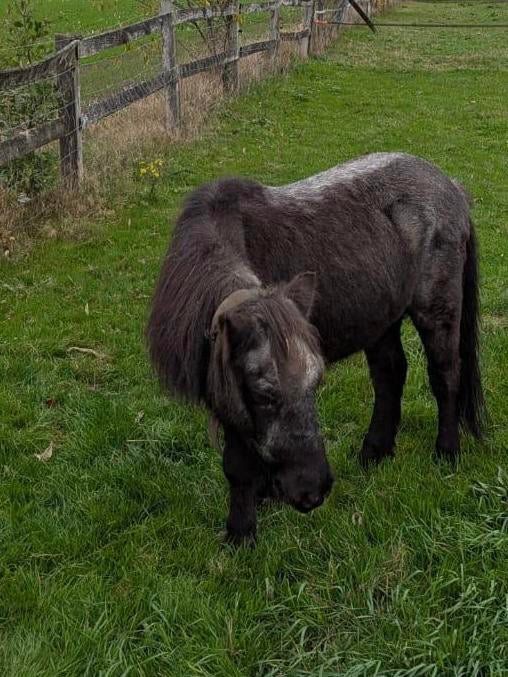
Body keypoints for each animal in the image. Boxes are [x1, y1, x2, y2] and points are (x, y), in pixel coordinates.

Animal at [146, 152, 485, 544]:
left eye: (316, 384)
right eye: (264, 395)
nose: (314, 490)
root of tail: (451, 187)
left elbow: (239, 465)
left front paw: (241, 533)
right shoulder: (228, 398)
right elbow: (239, 462)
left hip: (437, 311)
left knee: (445, 377)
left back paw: (446, 452)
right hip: (381, 319)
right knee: (390, 375)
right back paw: (374, 453)